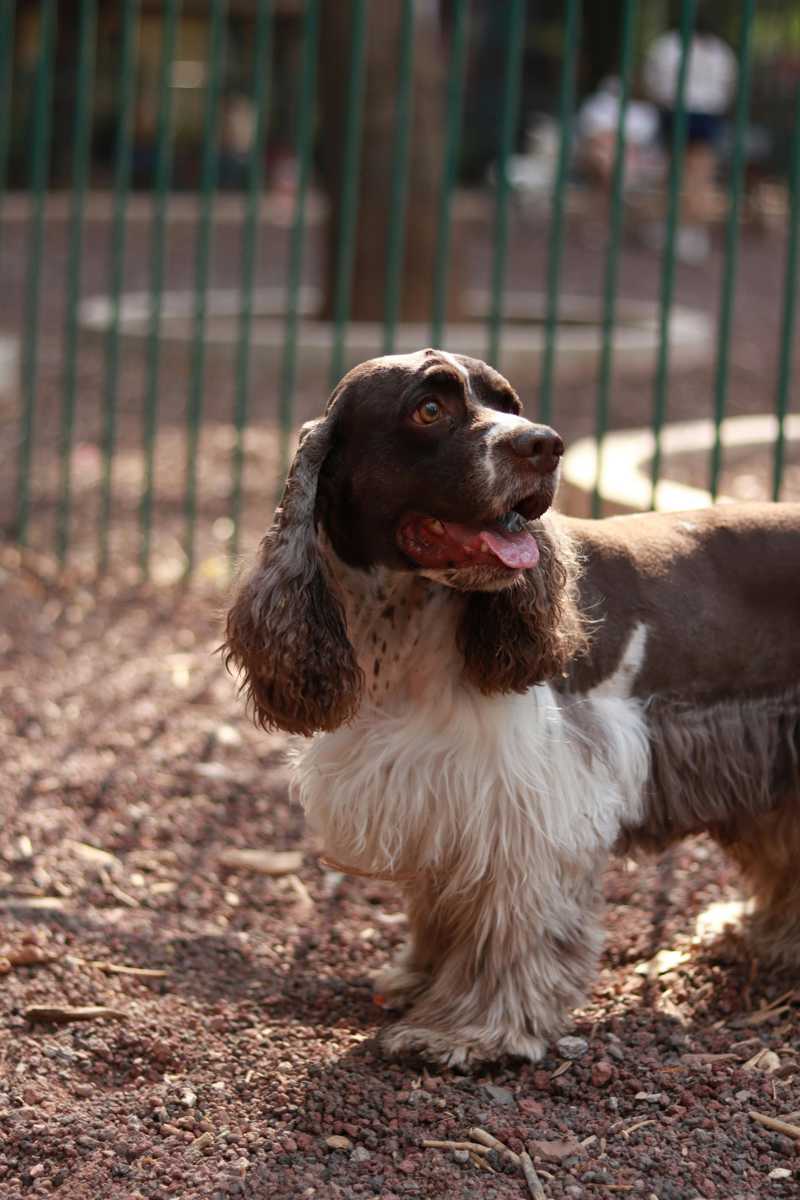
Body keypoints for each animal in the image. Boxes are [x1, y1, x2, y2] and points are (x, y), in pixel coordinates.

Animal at [221, 350, 800, 1070]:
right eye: (429, 409)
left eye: (511, 404)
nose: (544, 445)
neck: (403, 631)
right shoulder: (435, 791)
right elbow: (441, 905)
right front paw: (422, 980)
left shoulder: (529, 802)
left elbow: (511, 927)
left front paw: (469, 1031)